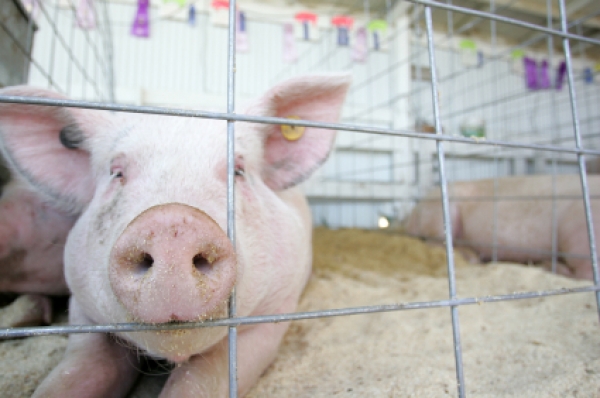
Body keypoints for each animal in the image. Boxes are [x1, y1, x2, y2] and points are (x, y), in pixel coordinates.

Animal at [0, 74, 352, 398]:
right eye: (116, 173)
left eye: (237, 171)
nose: (171, 225)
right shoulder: (82, 305)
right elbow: (80, 371)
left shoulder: (277, 307)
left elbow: (202, 379)